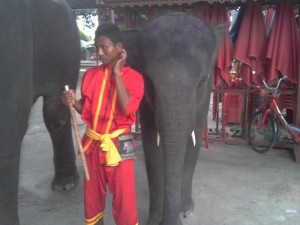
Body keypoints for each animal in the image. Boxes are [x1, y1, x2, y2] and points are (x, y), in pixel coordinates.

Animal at [123, 13, 224, 225]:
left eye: (203, 81)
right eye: (148, 80)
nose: (170, 220)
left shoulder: (205, 98)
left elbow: (193, 145)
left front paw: (187, 211)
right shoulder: (145, 102)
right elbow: (152, 149)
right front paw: (153, 220)